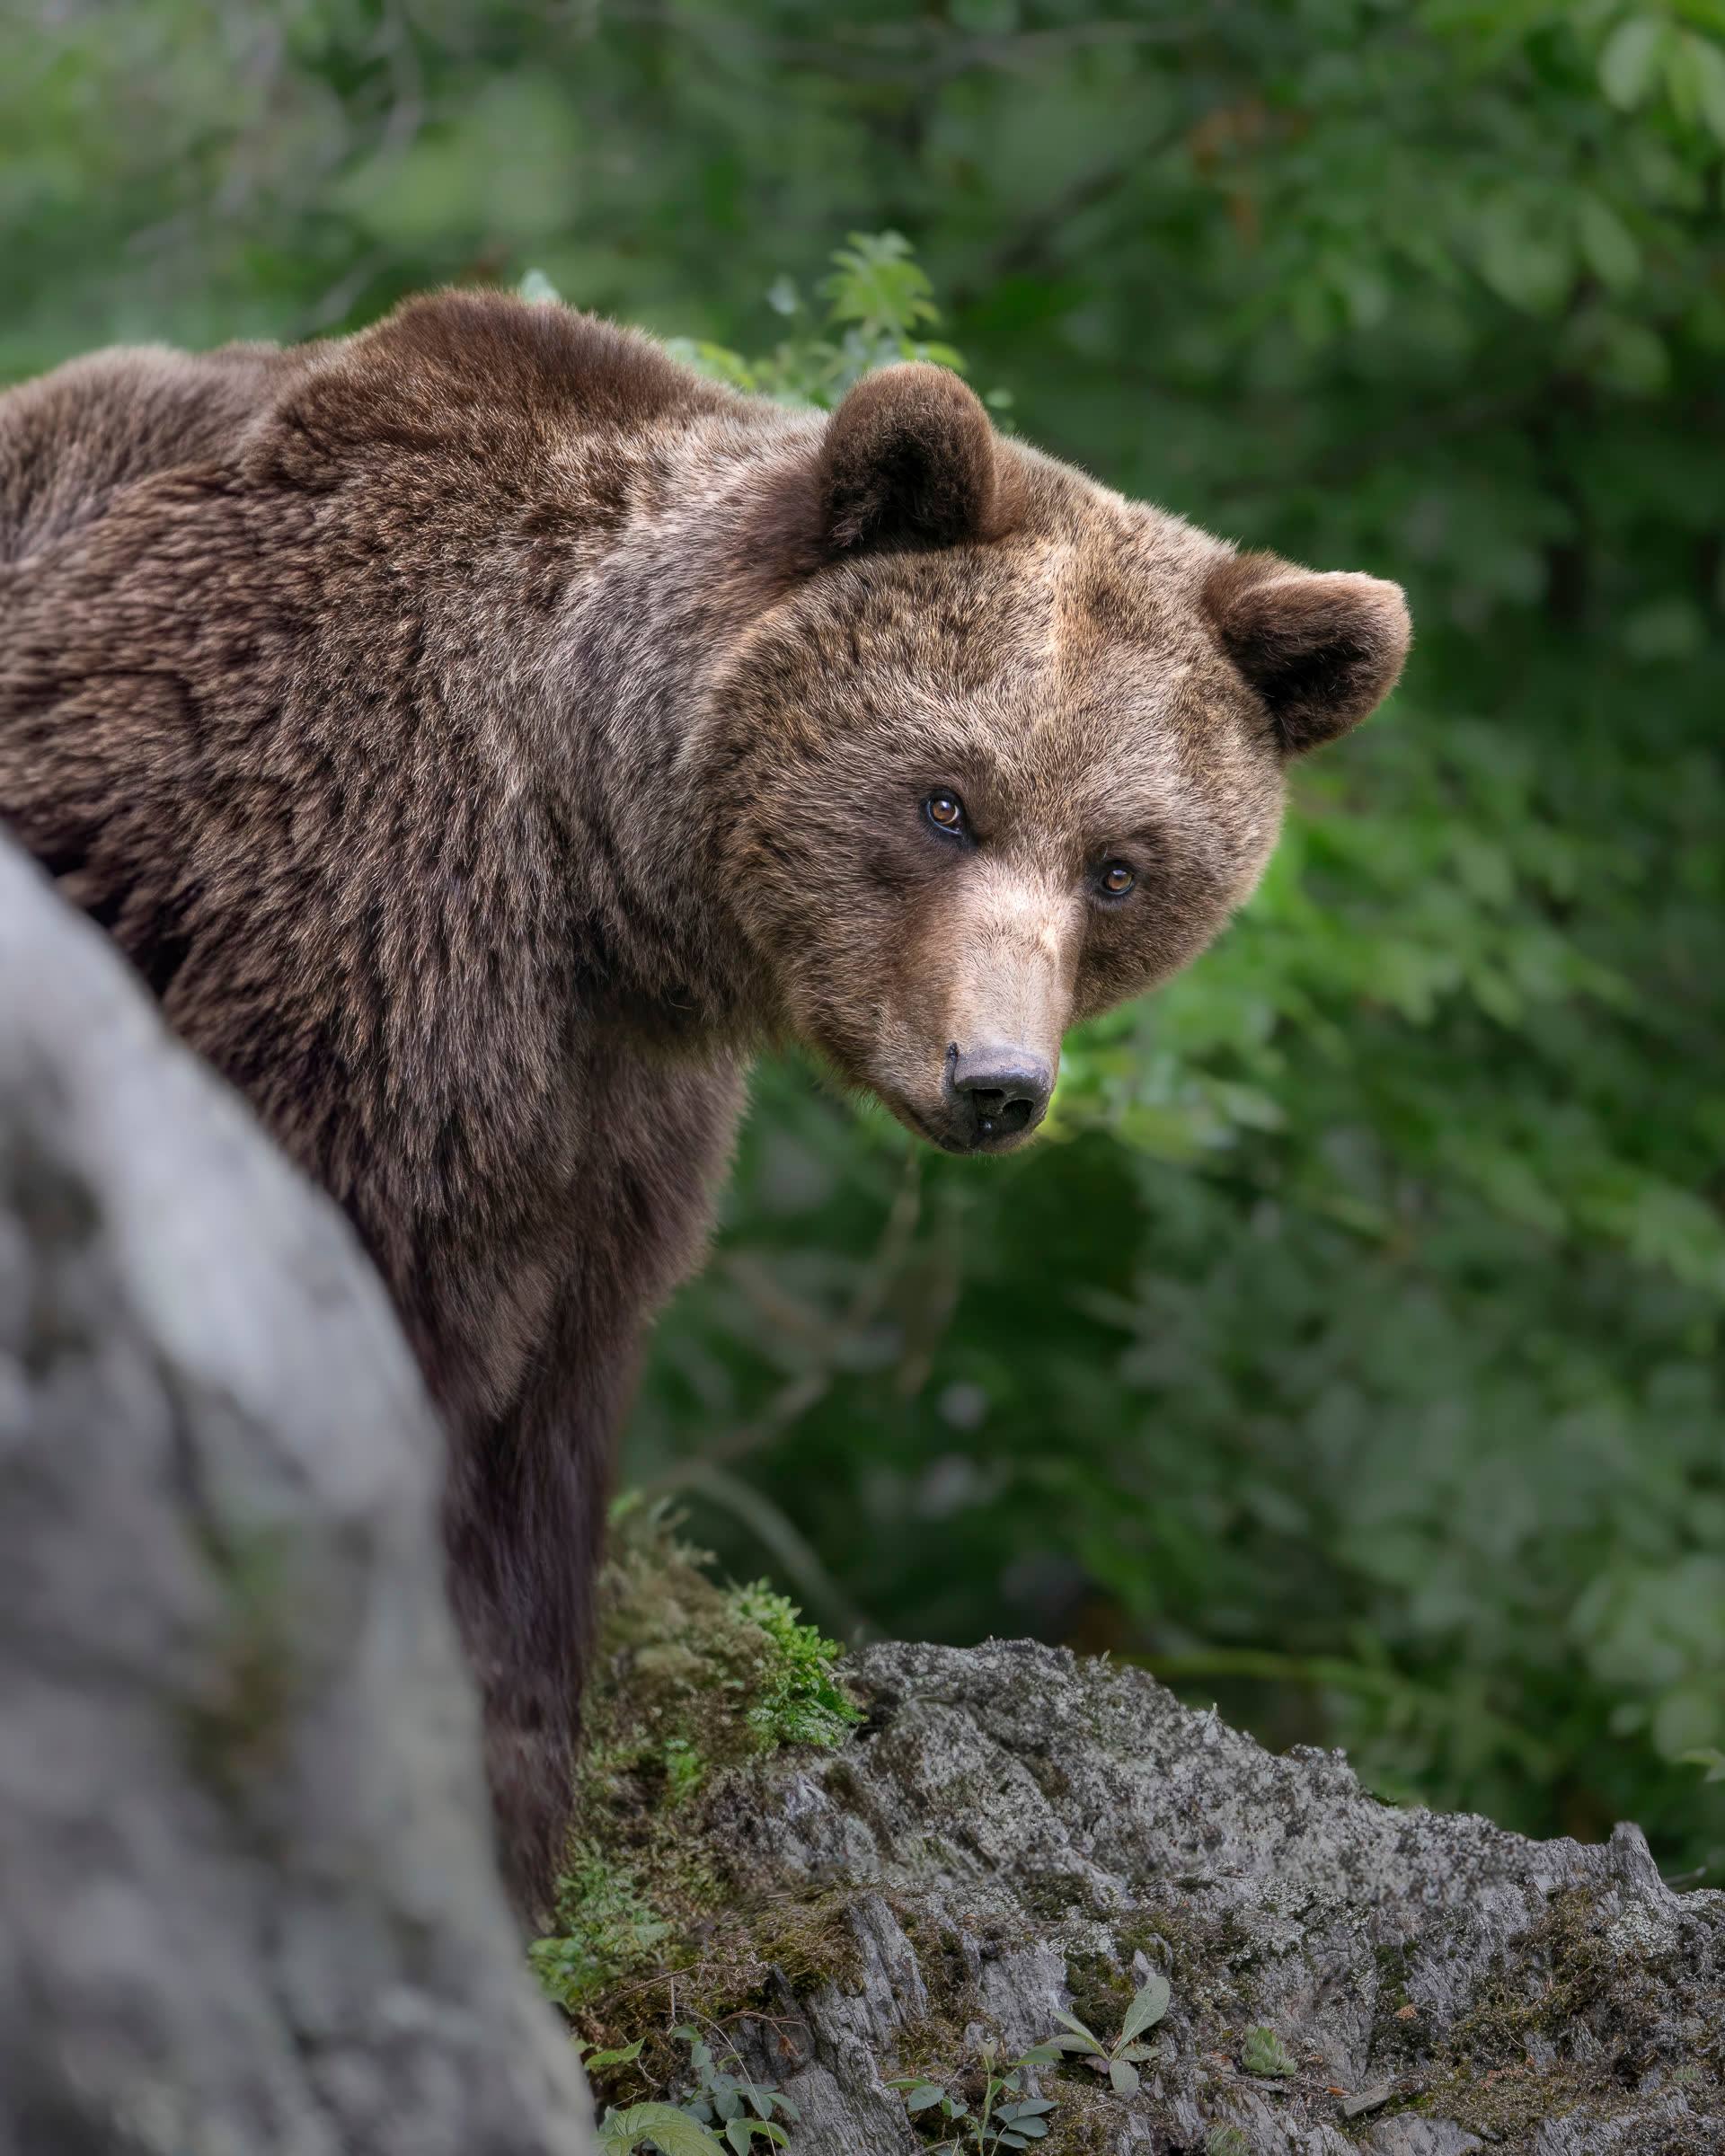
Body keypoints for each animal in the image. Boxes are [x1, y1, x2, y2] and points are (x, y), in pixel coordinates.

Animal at [0, 291, 1409, 1919]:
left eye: (1122, 867)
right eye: (946, 800)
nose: (994, 1080)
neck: (589, 852)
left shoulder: (613, 1125)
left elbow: (546, 1425)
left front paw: (512, 1802)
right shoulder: (341, 931)